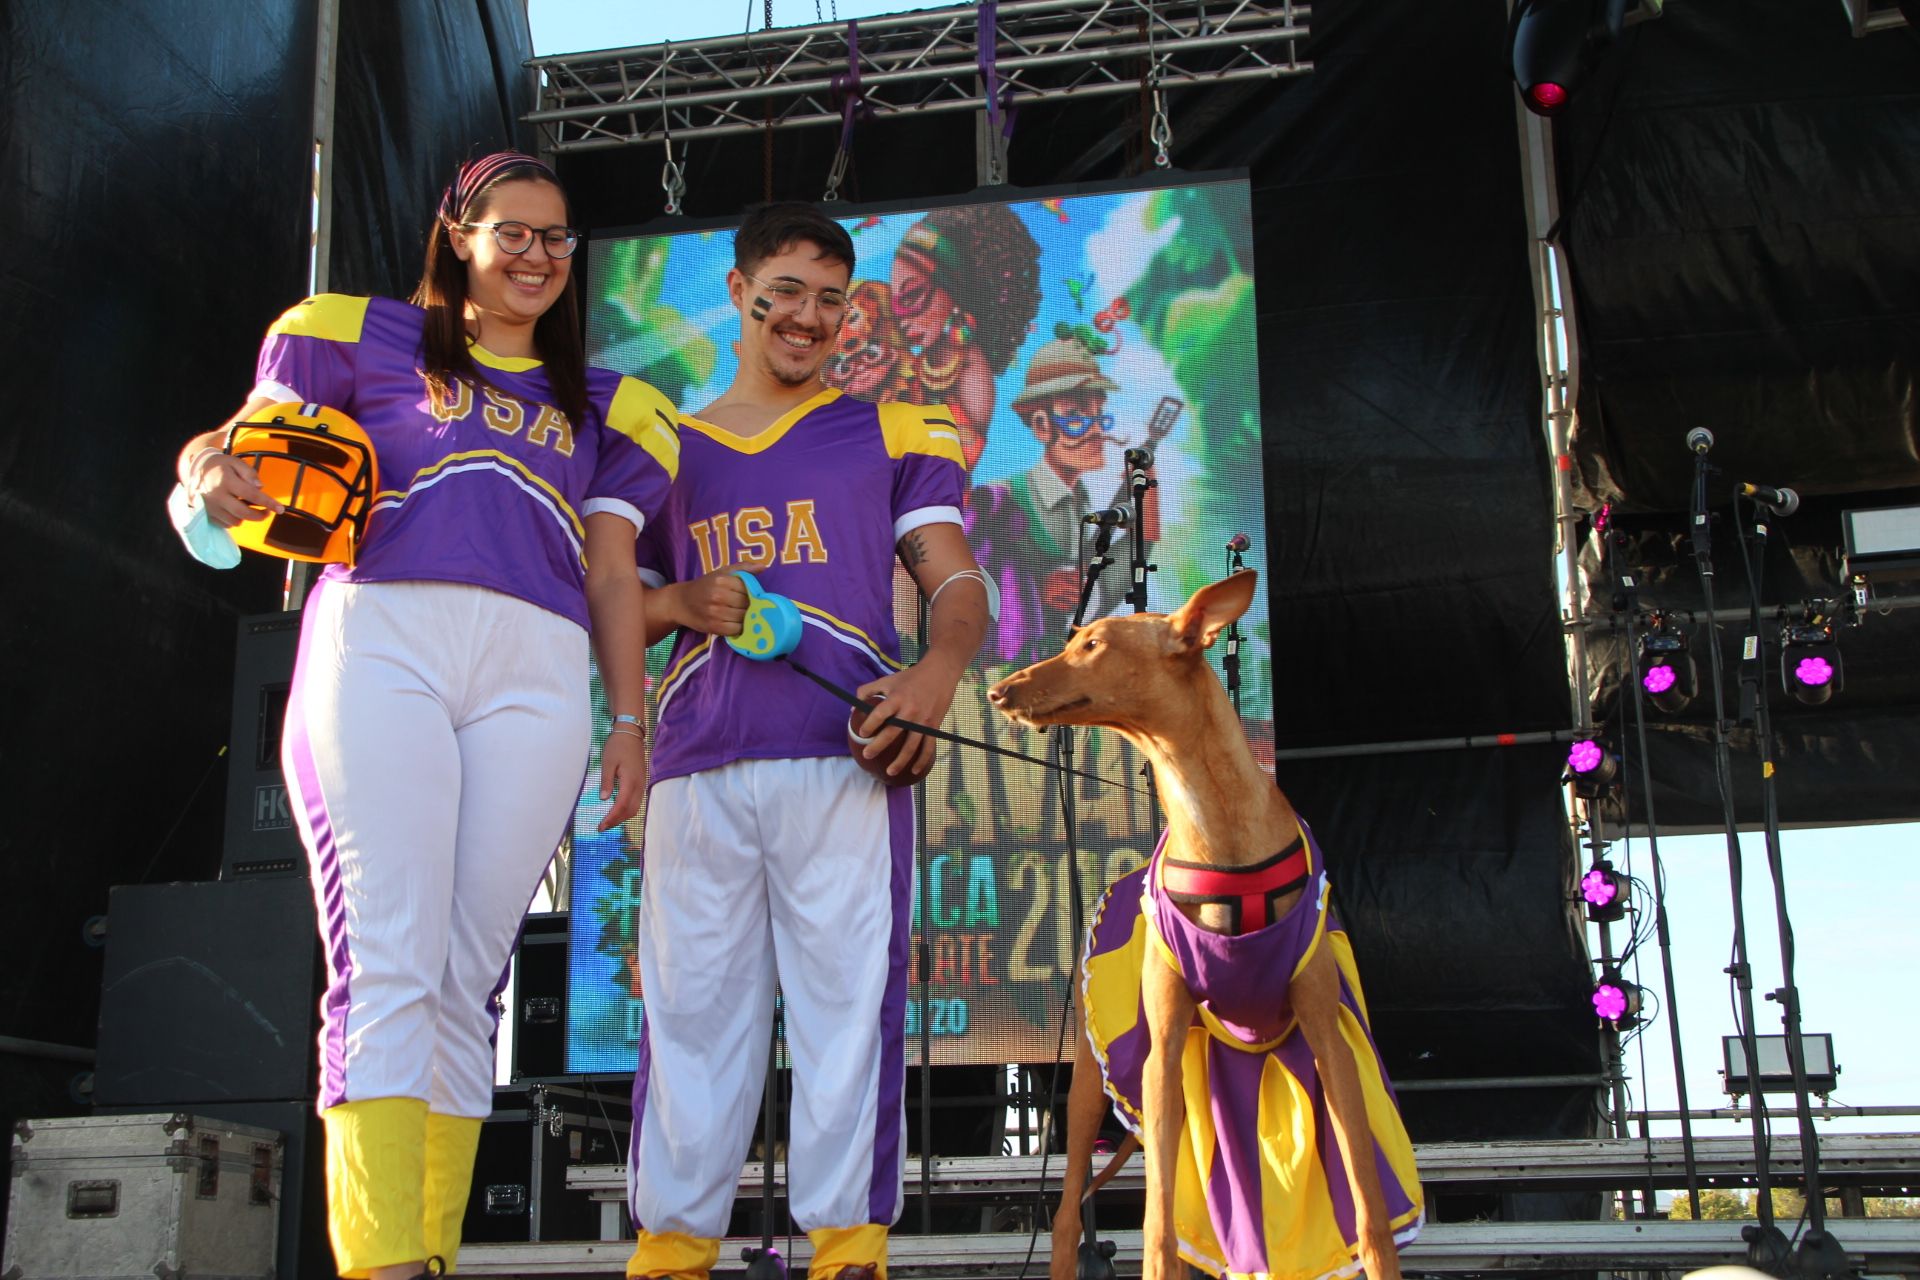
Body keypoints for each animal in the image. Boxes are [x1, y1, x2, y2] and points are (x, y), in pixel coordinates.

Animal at [990, 575, 1413, 1280]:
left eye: (1093, 645)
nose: (1000, 690)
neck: (1215, 824)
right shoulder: (1160, 1053)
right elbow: (1158, 1225)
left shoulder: (1328, 1040)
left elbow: (1369, 1207)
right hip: (1093, 1090)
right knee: (1068, 1217)